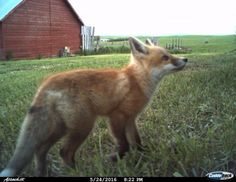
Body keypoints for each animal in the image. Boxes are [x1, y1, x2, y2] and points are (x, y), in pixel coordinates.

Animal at [0, 37, 188, 176]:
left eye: (170, 54)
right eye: (165, 57)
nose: (185, 59)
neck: (136, 81)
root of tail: (46, 82)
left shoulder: (130, 119)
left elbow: (137, 142)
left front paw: (144, 155)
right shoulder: (116, 116)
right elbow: (125, 144)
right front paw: (115, 158)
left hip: (60, 128)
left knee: (40, 150)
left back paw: (42, 173)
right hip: (83, 126)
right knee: (64, 152)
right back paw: (77, 172)